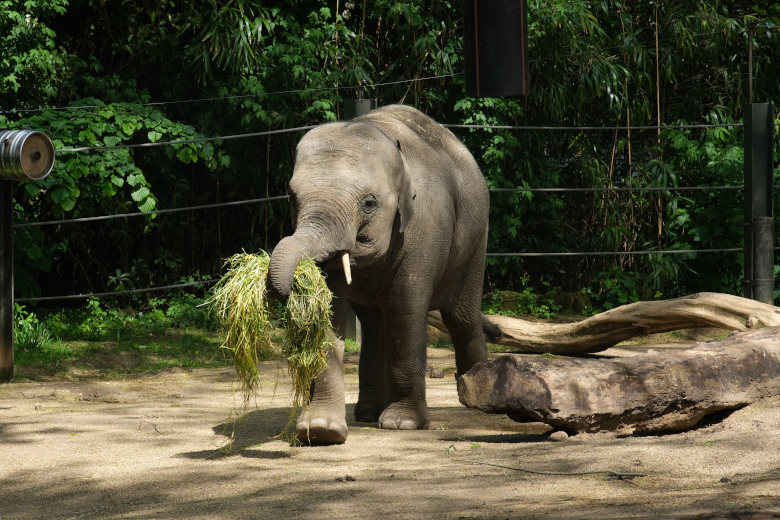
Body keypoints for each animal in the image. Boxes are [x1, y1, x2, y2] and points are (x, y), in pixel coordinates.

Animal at [266, 103, 494, 444]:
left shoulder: (425, 225)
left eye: (369, 203)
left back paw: (478, 396)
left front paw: (403, 424)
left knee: (460, 315)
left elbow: (405, 306)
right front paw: (320, 431)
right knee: (374, 326)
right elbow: (330, 312)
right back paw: (368, 414)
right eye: (291, 197)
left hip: (477, 237)